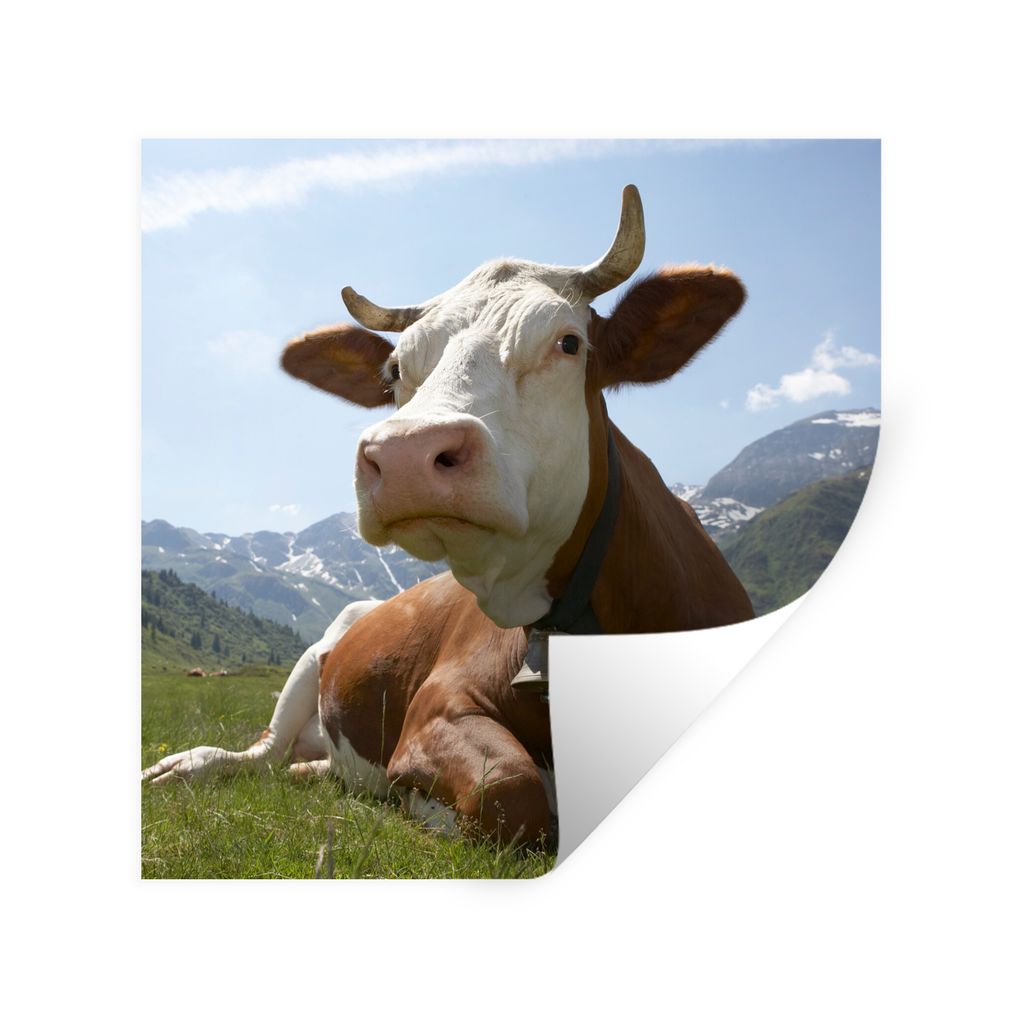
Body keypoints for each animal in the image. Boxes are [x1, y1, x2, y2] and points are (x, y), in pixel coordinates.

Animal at [142, 186, 753, 846]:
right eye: (394, 371)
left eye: (569, 343)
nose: (405, 454)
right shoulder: (437, 705)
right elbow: (510, 790)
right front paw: (418, 806)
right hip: (310, 662)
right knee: (259, 754)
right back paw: (190, 766)